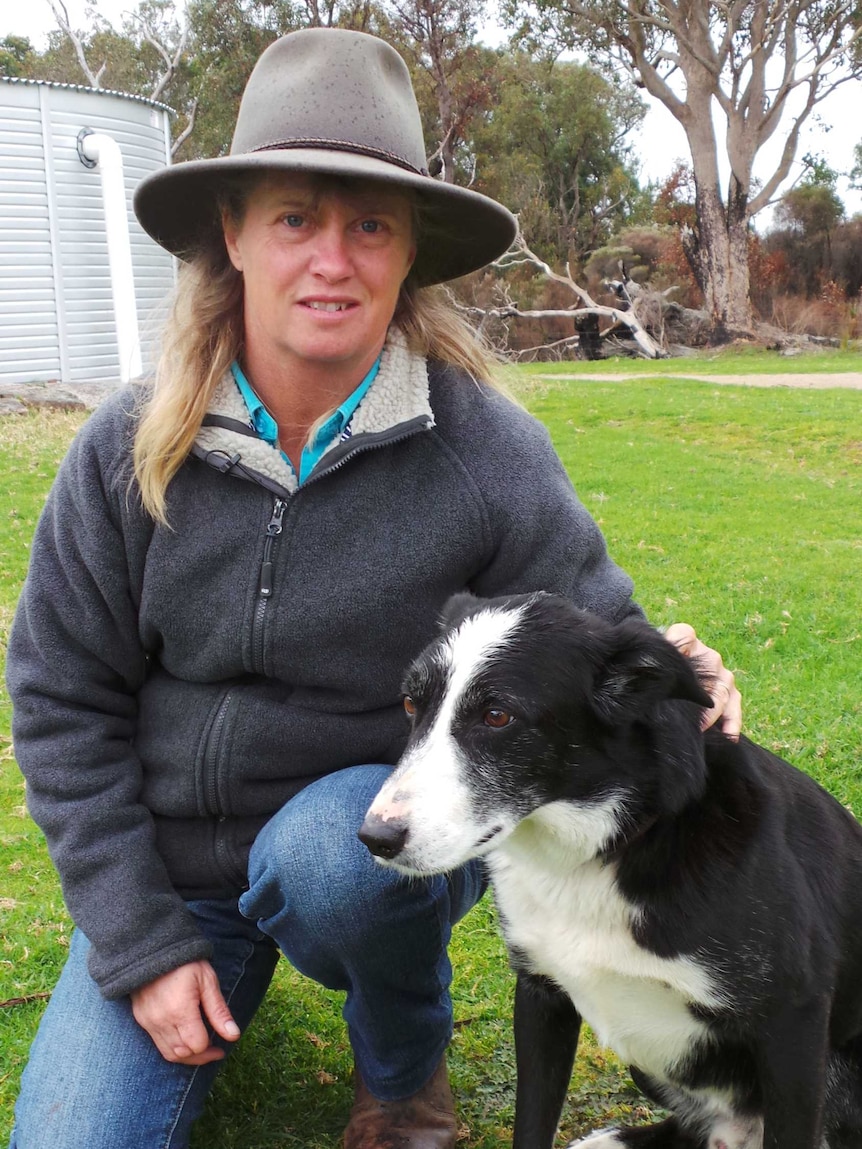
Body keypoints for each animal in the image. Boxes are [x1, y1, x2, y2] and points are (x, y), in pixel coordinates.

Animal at [360, 592, 862, 1149]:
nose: (375, 838)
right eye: (411, 704)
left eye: (497, 715)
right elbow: (532, 1121)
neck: (604, 847)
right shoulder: (541, 995)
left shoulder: (794, 1022)